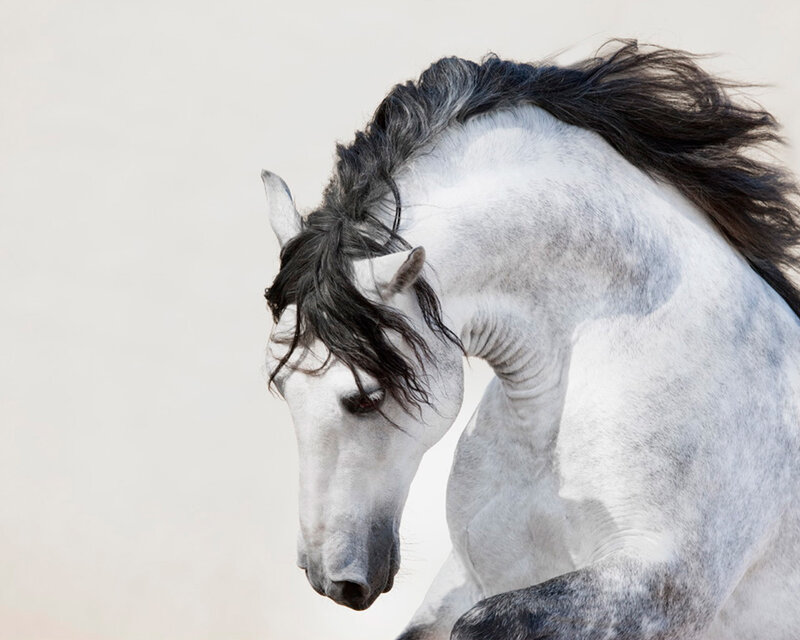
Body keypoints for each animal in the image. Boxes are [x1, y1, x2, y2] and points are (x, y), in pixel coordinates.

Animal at [262, 41, 800, 639]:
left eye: (366, 397)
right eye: (281, 388)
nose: (332, 580)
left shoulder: (655, 590)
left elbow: (477, 623)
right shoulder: (471, 576)